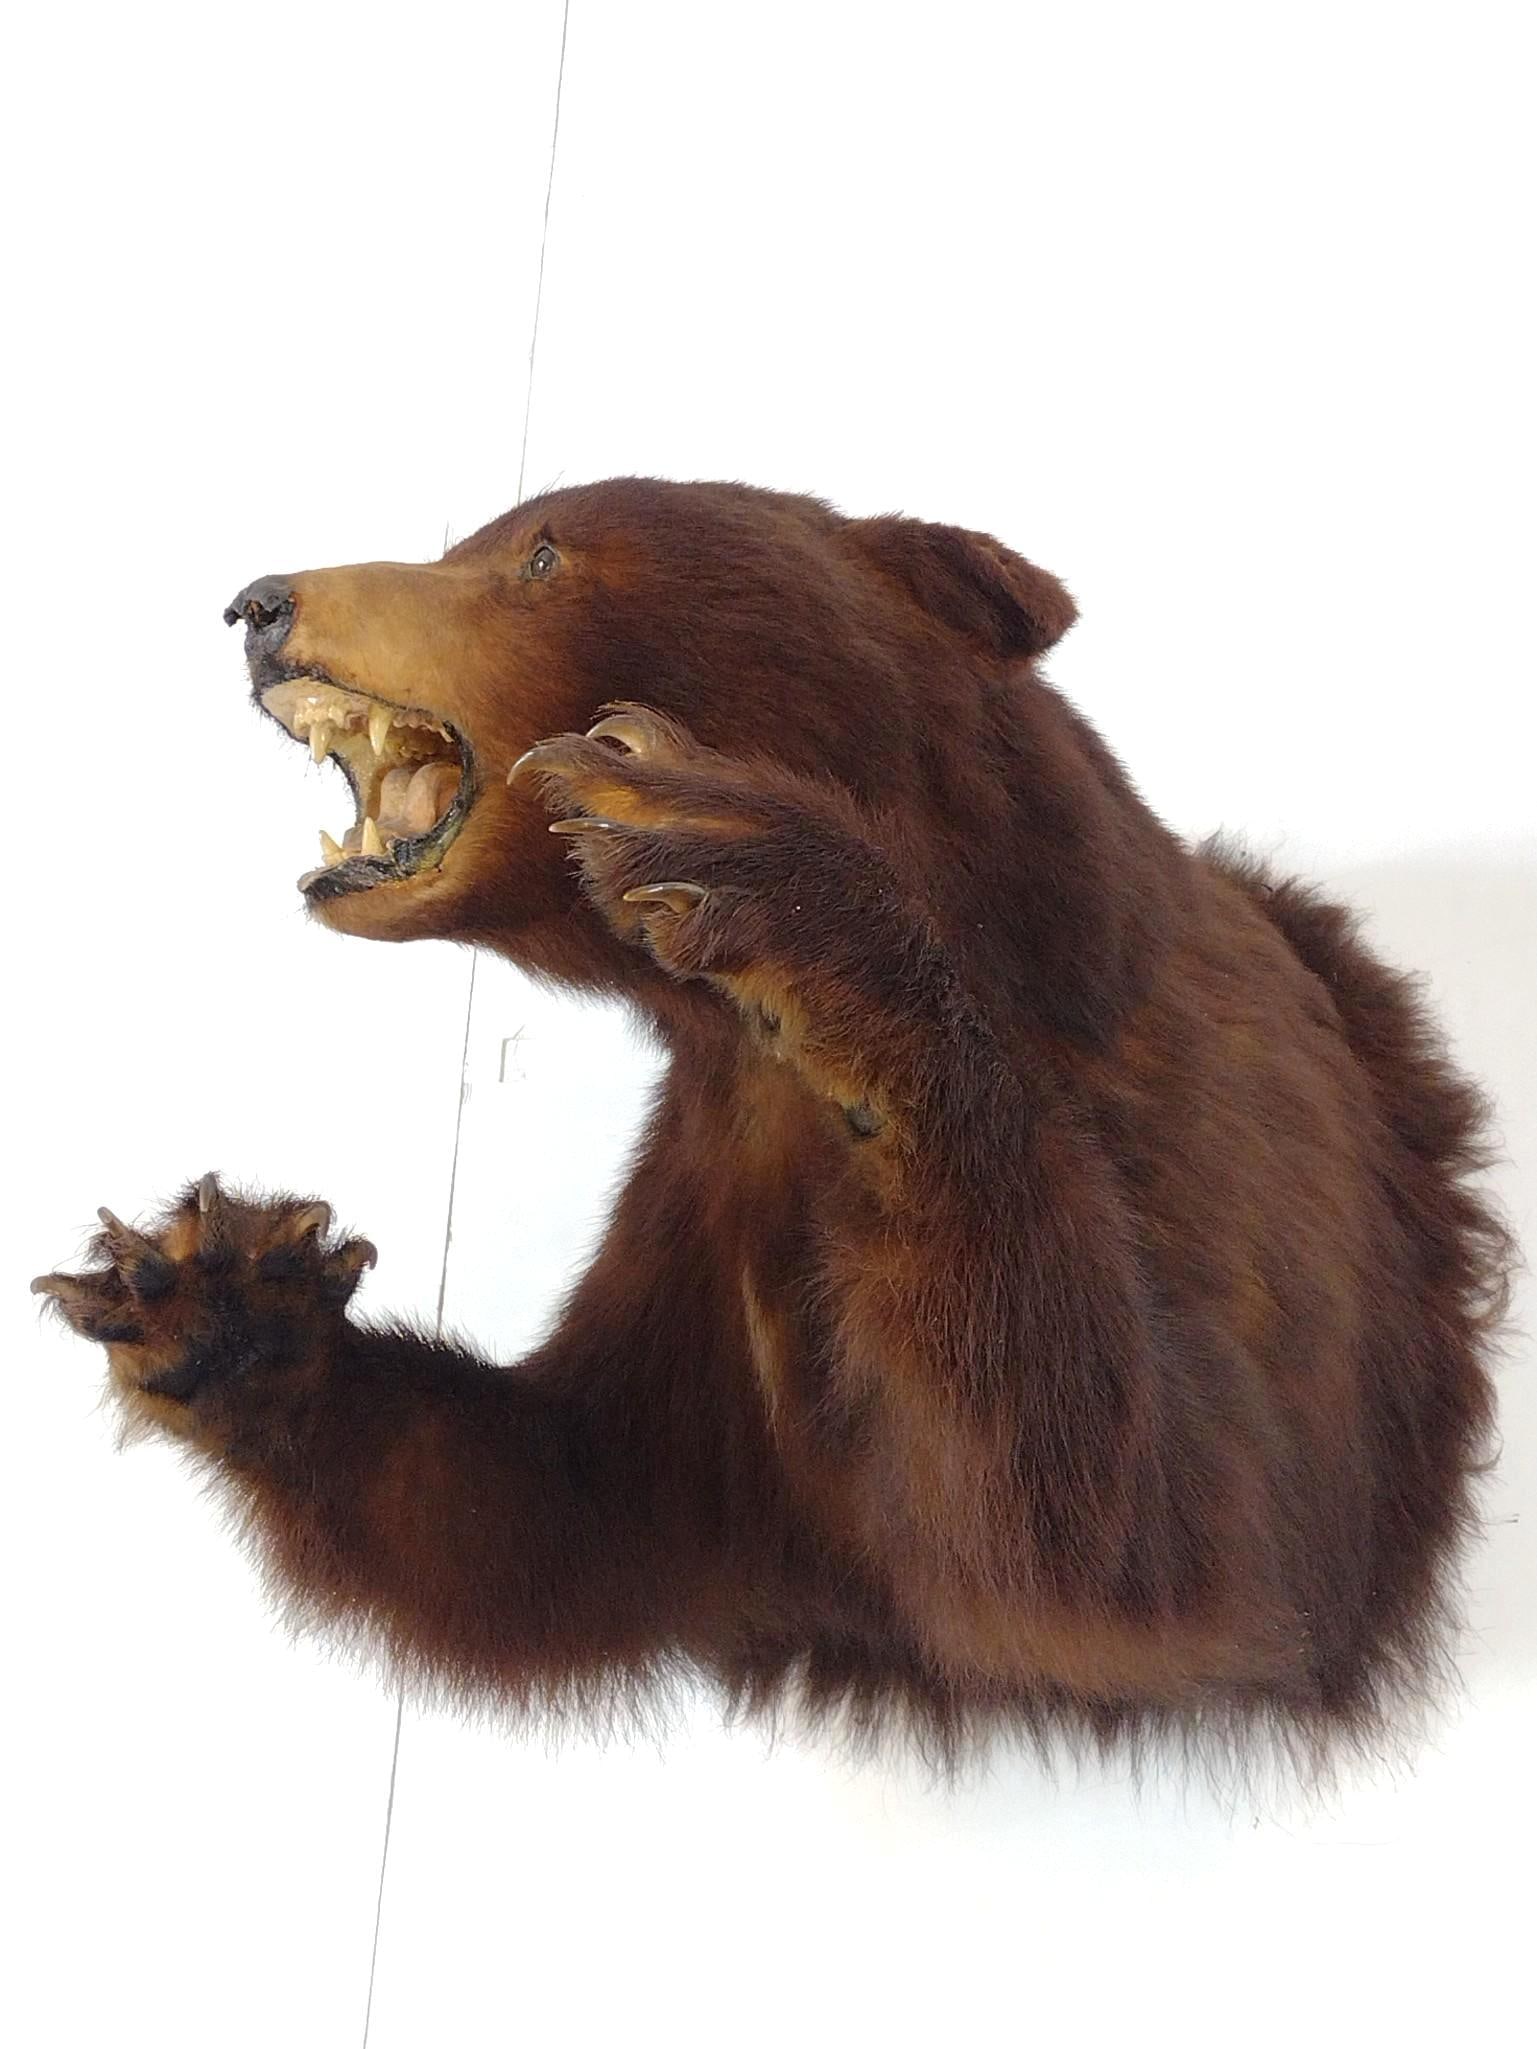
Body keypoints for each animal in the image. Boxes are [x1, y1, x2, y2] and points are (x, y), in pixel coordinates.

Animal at [35, 476, 1512, 1766]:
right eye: (478, 538)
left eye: (540, 553)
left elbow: (1161, 1558)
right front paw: (217, 1293)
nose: (259, 604)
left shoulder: (1215, 1148)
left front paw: (739, 851)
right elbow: (568, 1511)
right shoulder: (706, 1196)